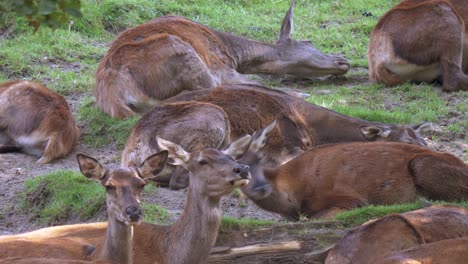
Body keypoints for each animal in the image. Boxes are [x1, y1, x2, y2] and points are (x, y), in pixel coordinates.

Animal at [96, 0, 352, 117]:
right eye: (310, 42)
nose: (343, 61)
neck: (234, 53)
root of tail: (113, 91)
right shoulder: (220, 67)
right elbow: (257, 83)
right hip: (181, 51)